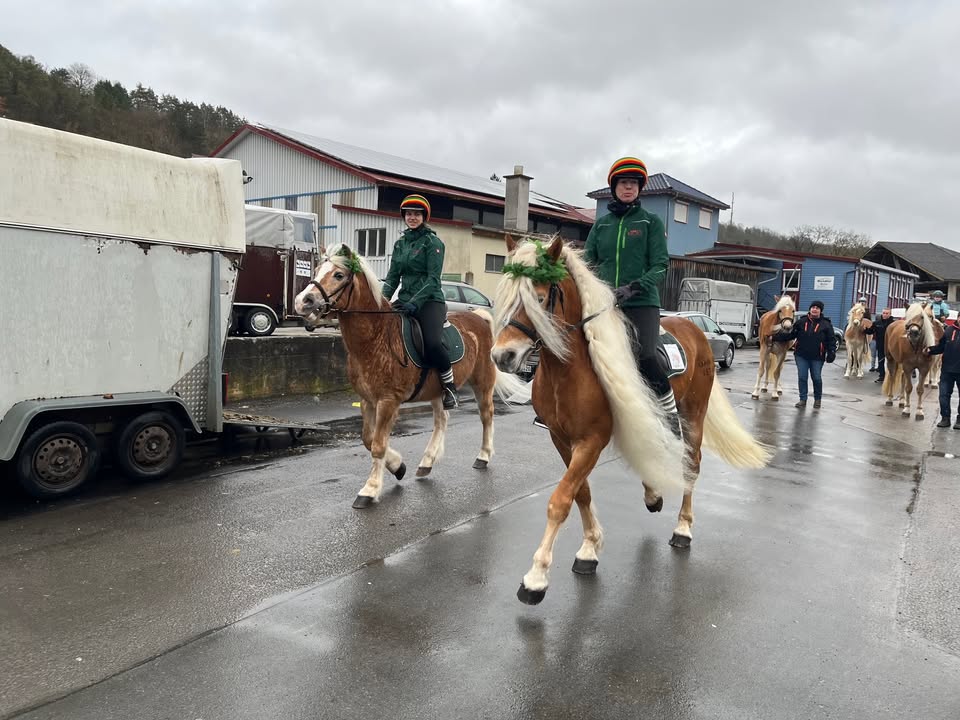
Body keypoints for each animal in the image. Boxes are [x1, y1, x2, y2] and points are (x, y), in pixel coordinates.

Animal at [293, 245, 526, 508]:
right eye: (317, 270)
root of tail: (481, 318)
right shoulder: (367, 400)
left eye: (339, 275)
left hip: (483, 383)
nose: (303, 301)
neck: (376, 338)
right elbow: (368, 439)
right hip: (437, 390)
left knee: (486, 416)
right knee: (441, 420)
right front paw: (398, 466)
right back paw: (427, 462)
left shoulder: (388, 401)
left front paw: (370, 489)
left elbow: (378, 444)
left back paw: (483, 456)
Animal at [491, 235, 772, 605]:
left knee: (691, 464)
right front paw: (589, 548)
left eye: (538, 298)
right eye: (504, 297)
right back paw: (653, 494)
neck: (569, 369)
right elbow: (581, 493)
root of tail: (695, 328)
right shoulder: (561, 438)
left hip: (694, 415)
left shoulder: (592, 440)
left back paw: (683, 528)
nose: (502, 355)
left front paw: (536, 578)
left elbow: (561, 500)